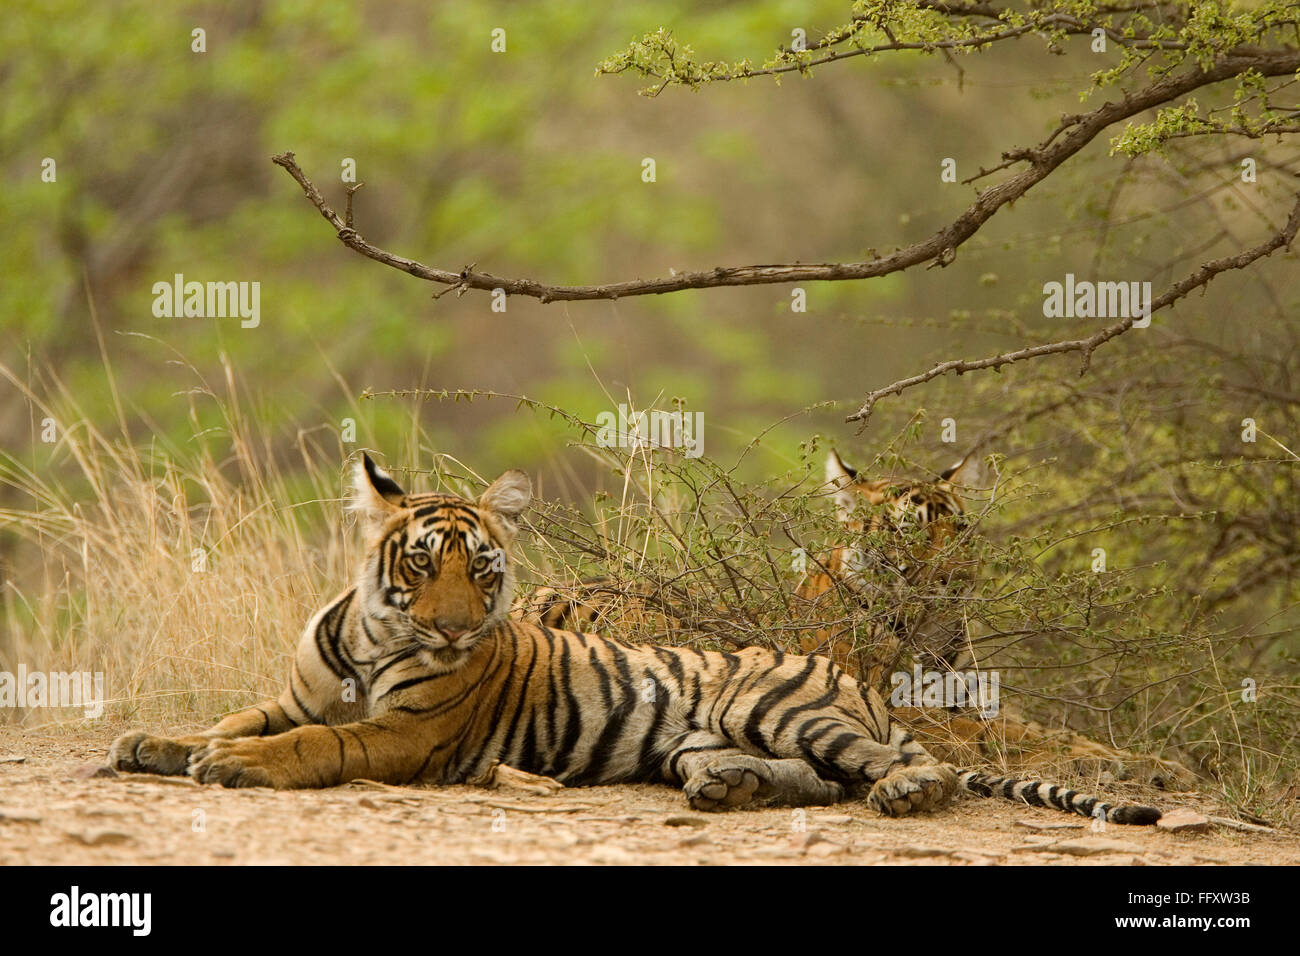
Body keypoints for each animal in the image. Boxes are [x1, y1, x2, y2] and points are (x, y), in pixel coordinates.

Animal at [111, 455, 1164, 822]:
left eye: (481, 570)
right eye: (422, 563)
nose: (458, 626)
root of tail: (839, 681)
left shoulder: (404, 733)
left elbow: (314, 744)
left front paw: (232, 767)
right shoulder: (289, 695)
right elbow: (233, 718)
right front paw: (157, 743)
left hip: (776, 704)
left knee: (900, 766)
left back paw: (903, 791)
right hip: (712, 733)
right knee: (819, 780)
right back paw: (727, 786)